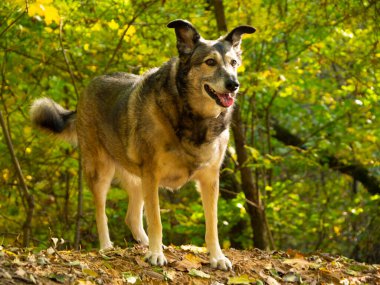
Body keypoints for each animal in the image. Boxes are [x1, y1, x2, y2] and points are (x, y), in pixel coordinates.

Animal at [29, 19, 255, 268]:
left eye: (234, 63)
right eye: (210, 62)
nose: (233, 84)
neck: (193, 117)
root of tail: (89, 88)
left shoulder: (209, 179)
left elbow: (212, 224)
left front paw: (217, 257)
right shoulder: (152, 175)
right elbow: (156, 220)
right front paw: (156, 254)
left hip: (136, 179)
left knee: (132, 217)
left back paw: (144, 243)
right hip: (101, 171)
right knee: (101, 212)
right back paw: (107, 247)